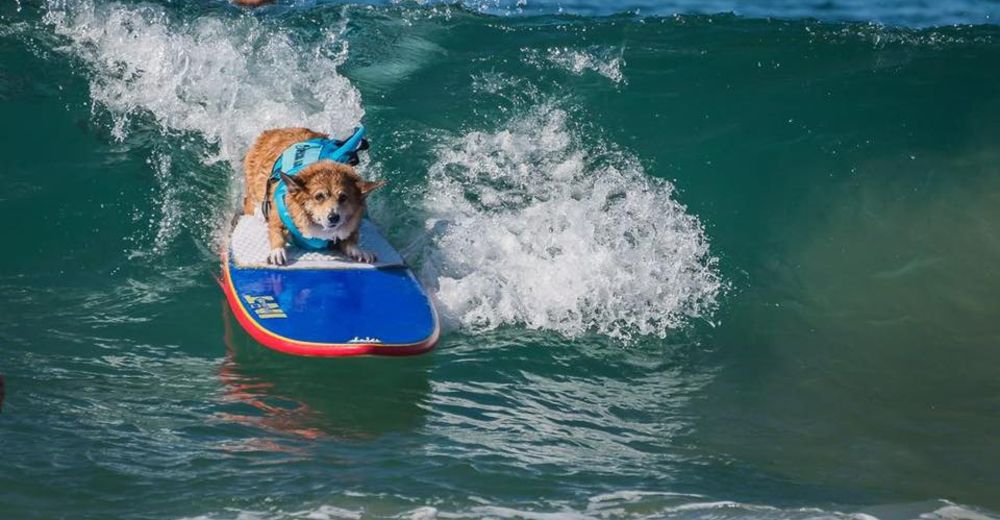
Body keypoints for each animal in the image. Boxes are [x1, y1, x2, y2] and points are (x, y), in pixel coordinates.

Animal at [242, 126, 386, 264]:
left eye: (343, 198)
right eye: (319, 196)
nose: (334, 217)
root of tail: (275, 130)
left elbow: (350, 240)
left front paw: (359, 251)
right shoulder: (277, 219)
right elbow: (276, 233)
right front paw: (277, 252)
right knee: (250, 201)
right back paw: (259, 213)